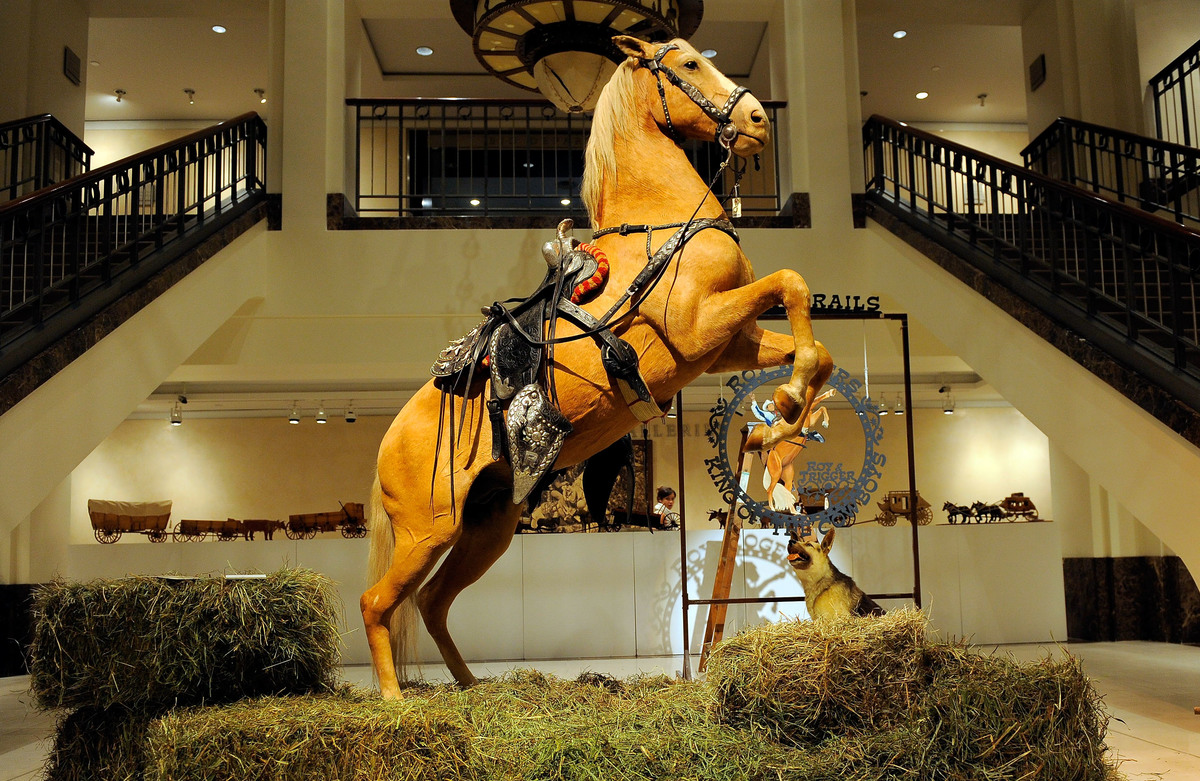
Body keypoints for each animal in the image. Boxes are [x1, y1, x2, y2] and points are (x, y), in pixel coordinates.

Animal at [360, 33, 830, 700]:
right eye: (689, 63)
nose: (758, 119)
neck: (663, 224)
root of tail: (387, 446)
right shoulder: (698, 328)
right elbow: (792, 281)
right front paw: (789, 402)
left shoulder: (730, 341)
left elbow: (812, 341)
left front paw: (786, 413)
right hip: (429, 534)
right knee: (379, 604)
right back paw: (397, 702)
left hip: (486, 531)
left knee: (432, 605)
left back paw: (474, 687)